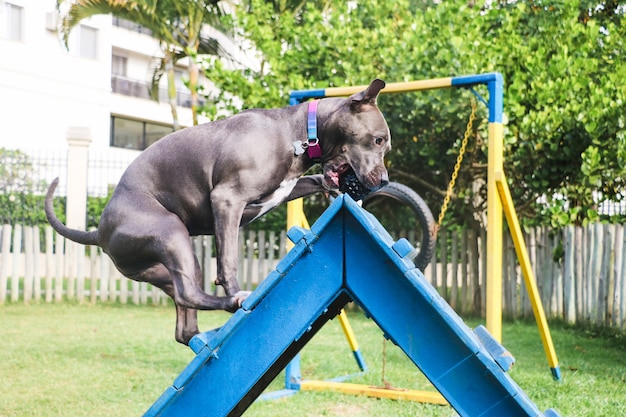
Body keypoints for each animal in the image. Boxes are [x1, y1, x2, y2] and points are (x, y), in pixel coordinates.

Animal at [46, 79, 390, 344]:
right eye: (377, 140)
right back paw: (235, 301)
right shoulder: (227, 201)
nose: (385, 179)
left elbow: (311, 181)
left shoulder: (284, 189)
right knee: (187, 293)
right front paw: (236, 290)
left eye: (384, 146)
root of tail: (99, 231)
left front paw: (333, 188)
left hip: (166, 265)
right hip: (171, 233)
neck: (298, 135)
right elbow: (229, 260)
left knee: (183, 319)